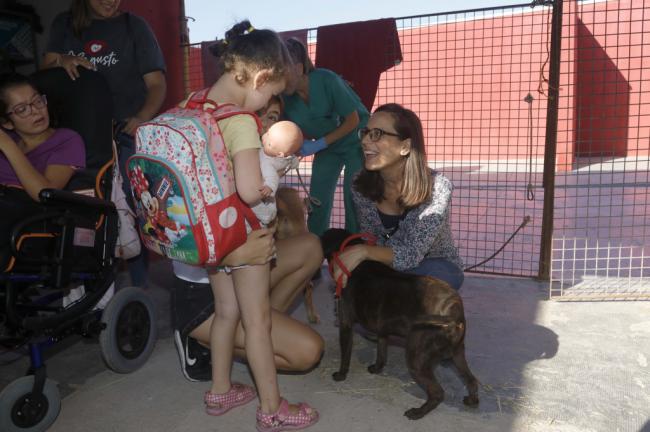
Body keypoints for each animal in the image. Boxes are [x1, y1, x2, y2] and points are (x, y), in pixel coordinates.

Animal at [318, 228, 476, 420]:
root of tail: (454, 309)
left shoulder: (346, 324)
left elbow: (345, 356)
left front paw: (341, 375)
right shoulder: (382, 328)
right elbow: (381, 351)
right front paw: (377, 368)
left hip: (417, 358)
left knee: (438, 393)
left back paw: (417, 412)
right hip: (458, 353)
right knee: (472, 380)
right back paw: (472, 400)